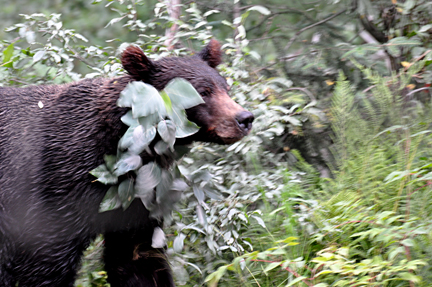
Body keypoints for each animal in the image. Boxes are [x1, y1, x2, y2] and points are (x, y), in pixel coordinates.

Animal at [0, 38, 255, 287]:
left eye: (226, 87)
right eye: (203, 91)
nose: (245, 118)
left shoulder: (138, 195)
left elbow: (137, 258)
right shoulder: (57, 185)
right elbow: (45, 261)